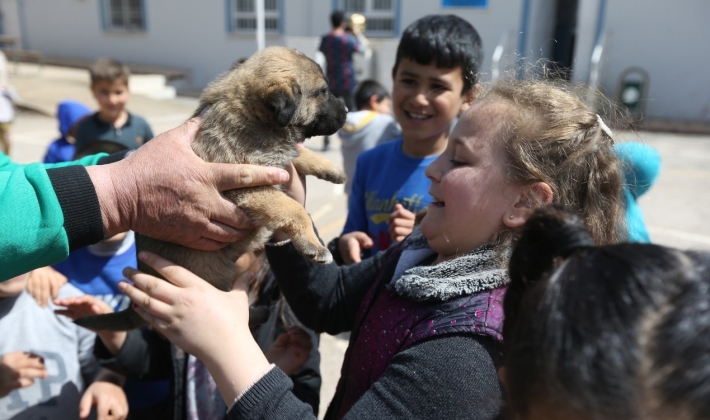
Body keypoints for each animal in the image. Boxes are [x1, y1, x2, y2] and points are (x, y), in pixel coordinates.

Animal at [75, 44, 348, 330]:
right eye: (323, 91)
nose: (347, 110)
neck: (256, 119)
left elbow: (299, 153)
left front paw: (331, 168)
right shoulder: (249, 186)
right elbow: (295, 208)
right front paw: (313, 246)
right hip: (211, 276)